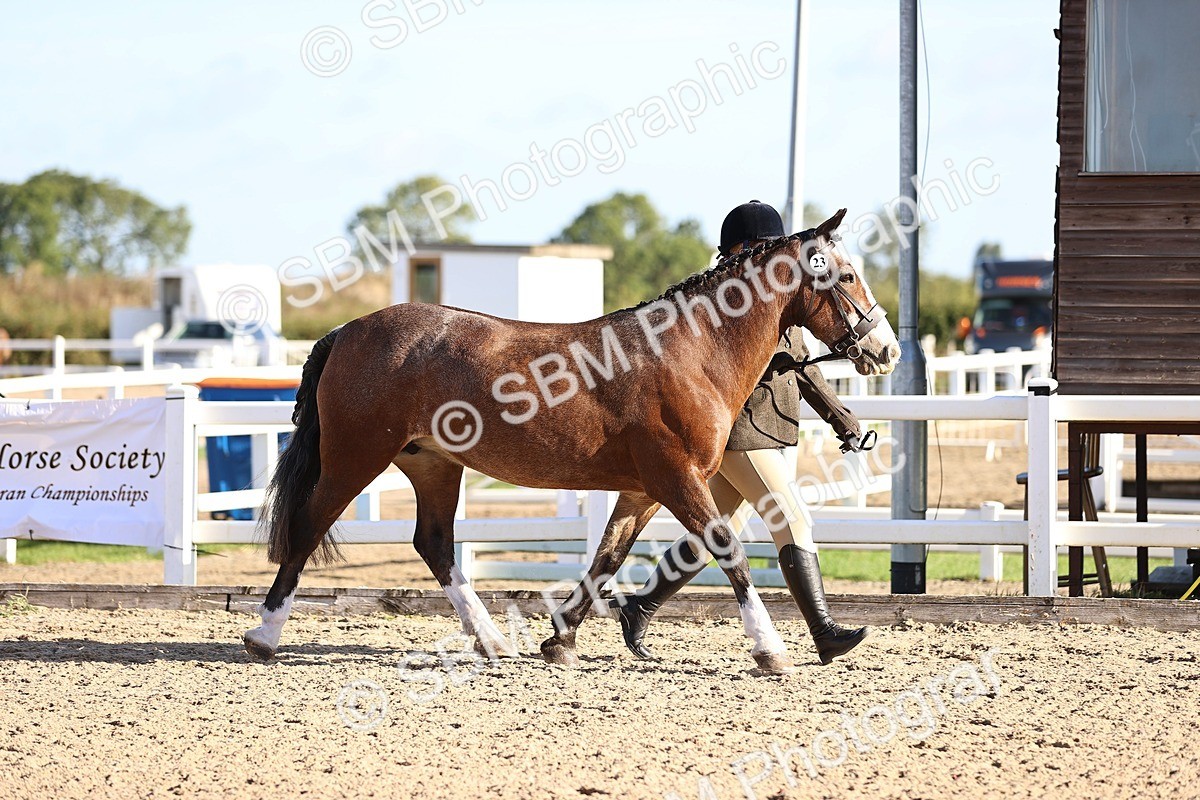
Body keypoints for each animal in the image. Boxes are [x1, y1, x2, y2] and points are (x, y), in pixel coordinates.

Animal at [244, 208, 900, 673]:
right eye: (846, 275)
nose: (886, 348)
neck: (691, 350)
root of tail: (348, 330)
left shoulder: (644, 489)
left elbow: (607, 558)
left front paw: (560, 640)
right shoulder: (675, 477)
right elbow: (728, 552)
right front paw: (770, 649)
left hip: (433, 465)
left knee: (433, 543)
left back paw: (492, 641)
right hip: (355, 457)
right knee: (307, 527)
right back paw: (263, 635)